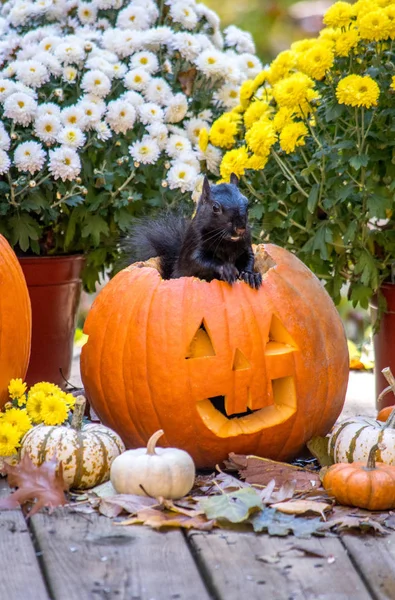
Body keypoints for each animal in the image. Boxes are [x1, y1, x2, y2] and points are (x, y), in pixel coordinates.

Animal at [120, 172, 262, 290]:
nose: (241, 228)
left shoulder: (246, 246)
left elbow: (249, 259)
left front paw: (250, 275)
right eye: (215, 207)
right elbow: (198, 261)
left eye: (247, 203)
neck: (227, 242)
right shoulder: (195, 245)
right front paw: (226, 269)